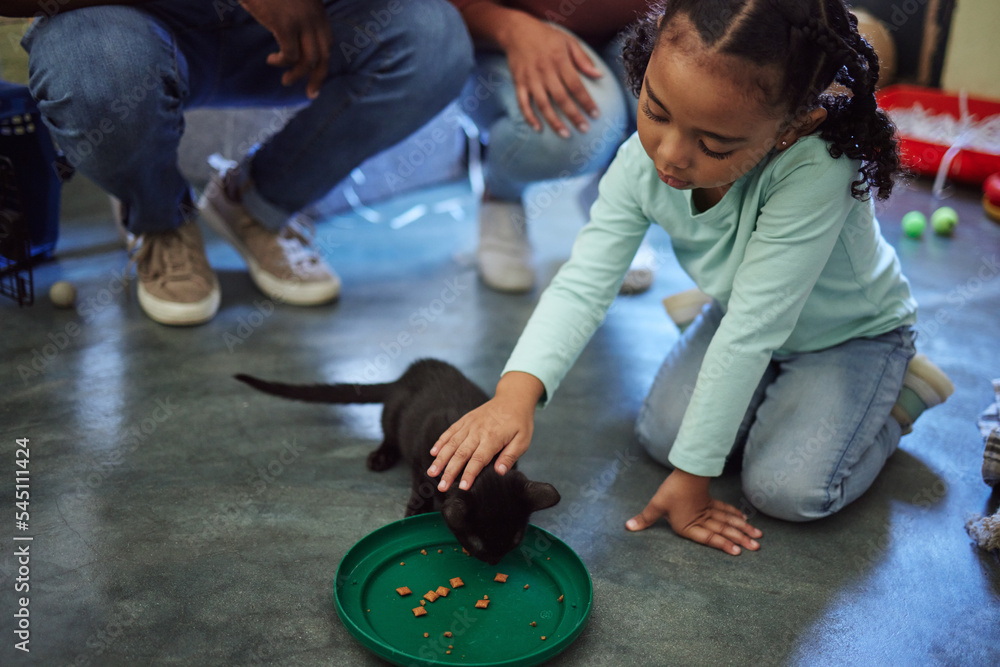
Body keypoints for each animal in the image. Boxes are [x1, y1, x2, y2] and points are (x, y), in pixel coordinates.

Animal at [236, 358, 564, 568]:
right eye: (478, 542)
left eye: (514, 540)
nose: (495, 561)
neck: (481, 467)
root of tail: (405, 376)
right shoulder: (424, 463)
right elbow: (421, 487)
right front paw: (414, 513)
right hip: (393, 415)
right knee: (389, 434)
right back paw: (381, 456)